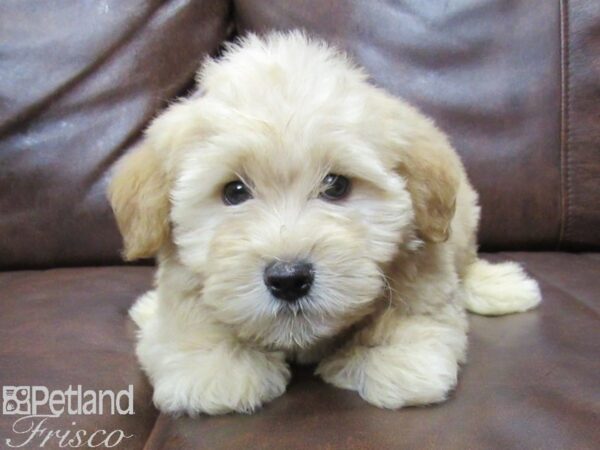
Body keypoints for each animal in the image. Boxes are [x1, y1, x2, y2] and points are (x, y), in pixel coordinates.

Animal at [109, 31, 544, 414]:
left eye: (337, 185)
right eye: (234, 192)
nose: (289, 279)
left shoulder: (422, 264)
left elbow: (416, 310)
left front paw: (391, 357)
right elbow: (190, 320)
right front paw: (215, 365)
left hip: (464, 219)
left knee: (466, 263)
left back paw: (502, 286)